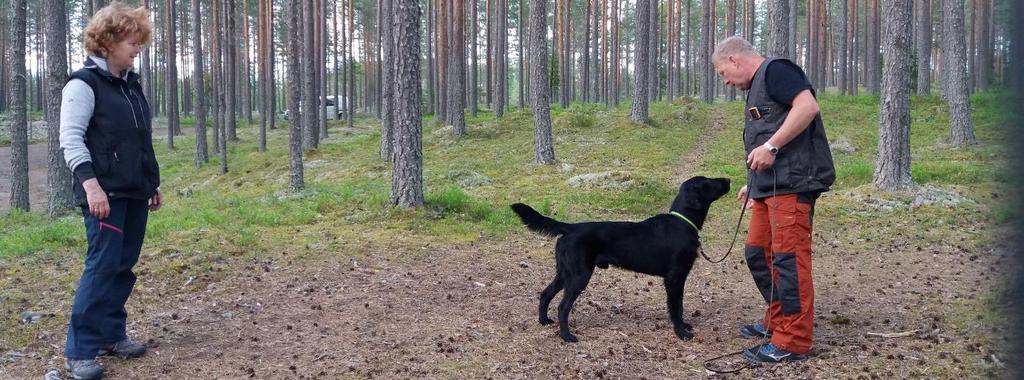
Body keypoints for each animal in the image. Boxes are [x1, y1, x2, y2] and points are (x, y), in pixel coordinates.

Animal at [509, 177, 733, 344]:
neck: (683, 222)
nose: (728, 179)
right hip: (579, 275)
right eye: (708, 182)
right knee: (563, 306)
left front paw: (683, 327)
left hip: (565, 273)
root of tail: (570, 228)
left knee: (545, 294)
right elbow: (677, 307)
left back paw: (544, 320)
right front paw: (681, 333)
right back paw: (567, 336)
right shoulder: (675, 277)